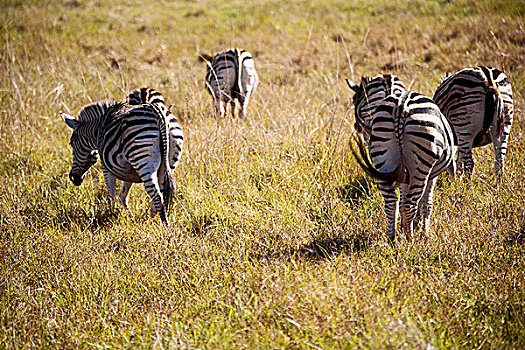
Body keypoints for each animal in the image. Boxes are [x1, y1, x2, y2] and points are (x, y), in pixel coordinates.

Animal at [350, 90, 456, 241]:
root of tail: (401, 106)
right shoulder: (432, 176)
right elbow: (426, 204)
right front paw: (425, 234)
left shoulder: (403, 176)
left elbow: (403, 201)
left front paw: (404, 228)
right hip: (421, 165)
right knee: (409, 204)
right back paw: (410, 240)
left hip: (383, 159)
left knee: (391, 202)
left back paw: (392, 239)